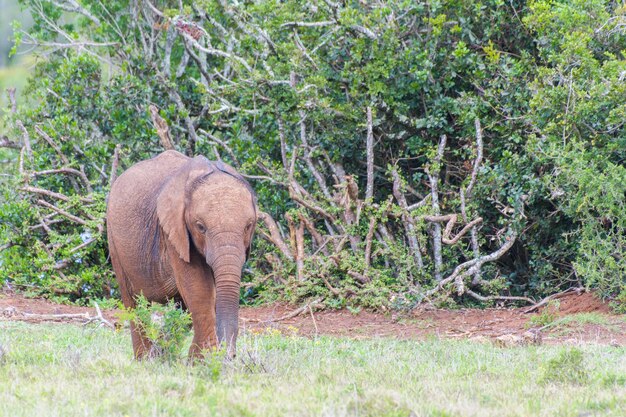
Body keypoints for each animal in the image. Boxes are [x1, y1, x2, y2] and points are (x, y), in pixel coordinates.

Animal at [106, 150, 255, 358]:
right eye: (200, 227)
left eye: (248, 226)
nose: (230, 356)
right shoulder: (174, 232)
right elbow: (199, 289)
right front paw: (206, 360)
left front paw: (197, 359)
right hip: (113, 239)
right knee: (133, 300)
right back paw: (146, 358)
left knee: (181, 305)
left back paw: (162, 354)